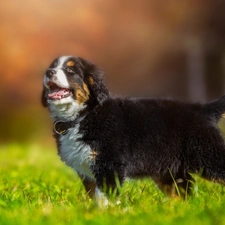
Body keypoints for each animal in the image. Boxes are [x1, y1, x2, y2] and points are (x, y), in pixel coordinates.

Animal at [41, 55, 225, 205]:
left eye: (70, 70)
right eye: (53, 66)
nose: (48, 72)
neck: (84, 115)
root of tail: (204, 109)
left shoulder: (109, 165)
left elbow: (103, 197)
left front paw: (104, 214)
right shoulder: (87, 171)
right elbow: (93, 194)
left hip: (208, 156)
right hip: (169, 170)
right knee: (183, 192)